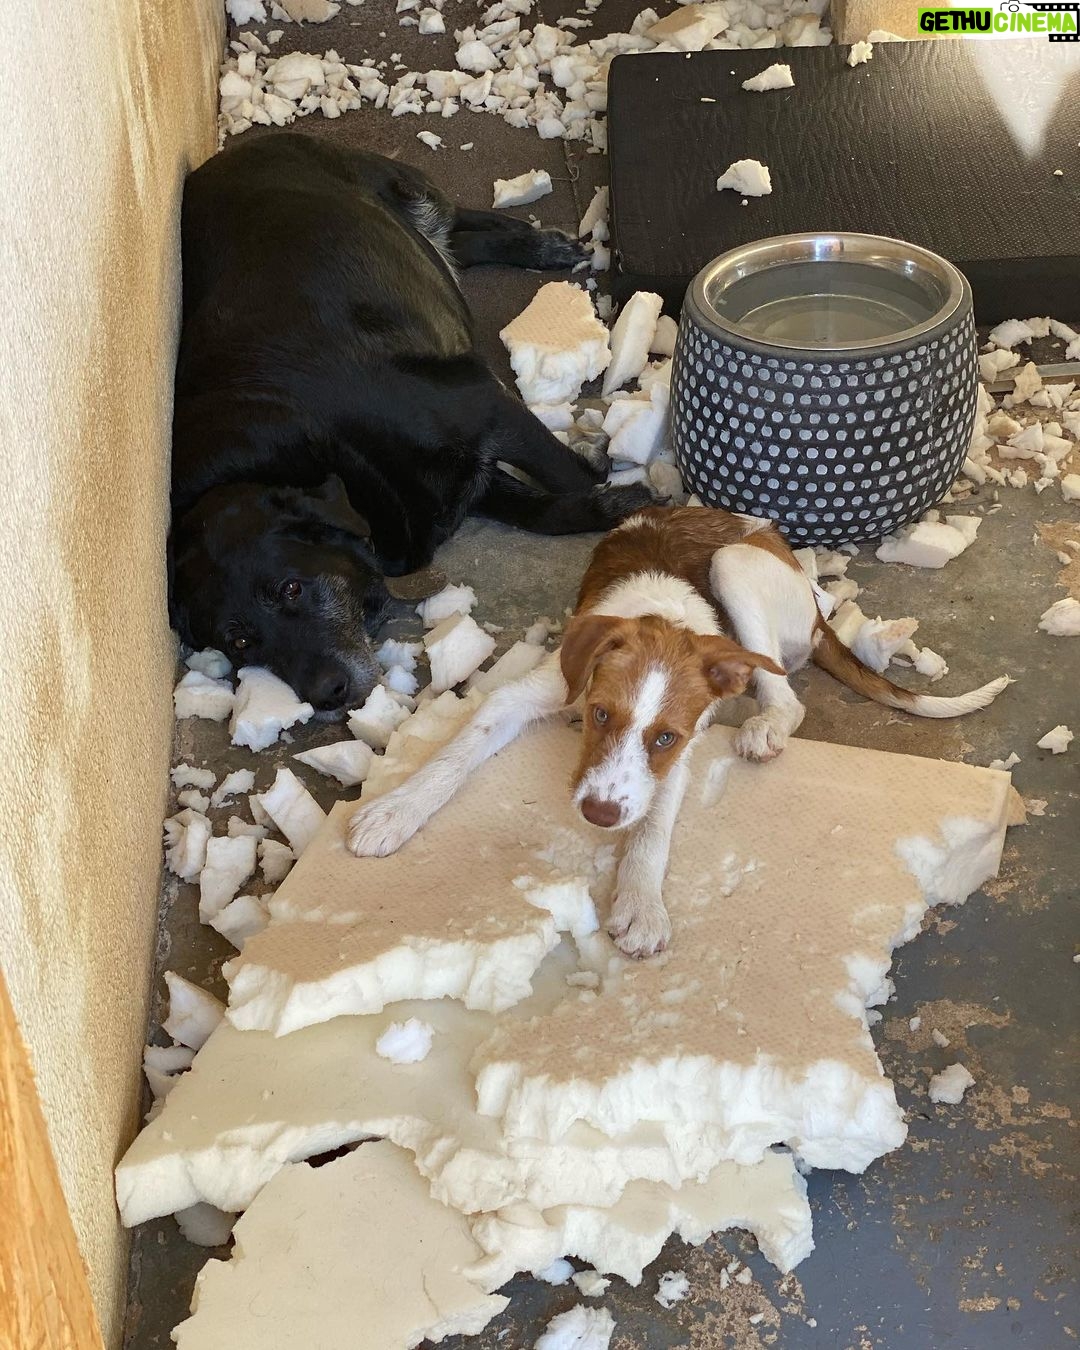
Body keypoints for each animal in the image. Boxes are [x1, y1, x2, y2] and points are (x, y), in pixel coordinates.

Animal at [168, 134, 653, 714]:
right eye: (239, 641)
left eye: (289, 589)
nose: (326, 696)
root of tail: (228, 155)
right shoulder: (459, 481)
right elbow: (544, 511)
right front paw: (611, 506)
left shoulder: (484, 407)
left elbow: (568, 475)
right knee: (456, 247)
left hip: (408, 190)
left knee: (459, 217)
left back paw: (541, 244)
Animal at [346, 505, 1008, 958]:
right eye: (599, 715)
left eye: (664, 738)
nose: (599, 815)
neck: (660, 617)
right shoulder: (532, 691)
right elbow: (454, 754)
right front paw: (394, 811)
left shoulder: (681, 749)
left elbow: (654, 825)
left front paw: (641, 903)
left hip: (735, 568)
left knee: (785, 697)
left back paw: (763, 730)